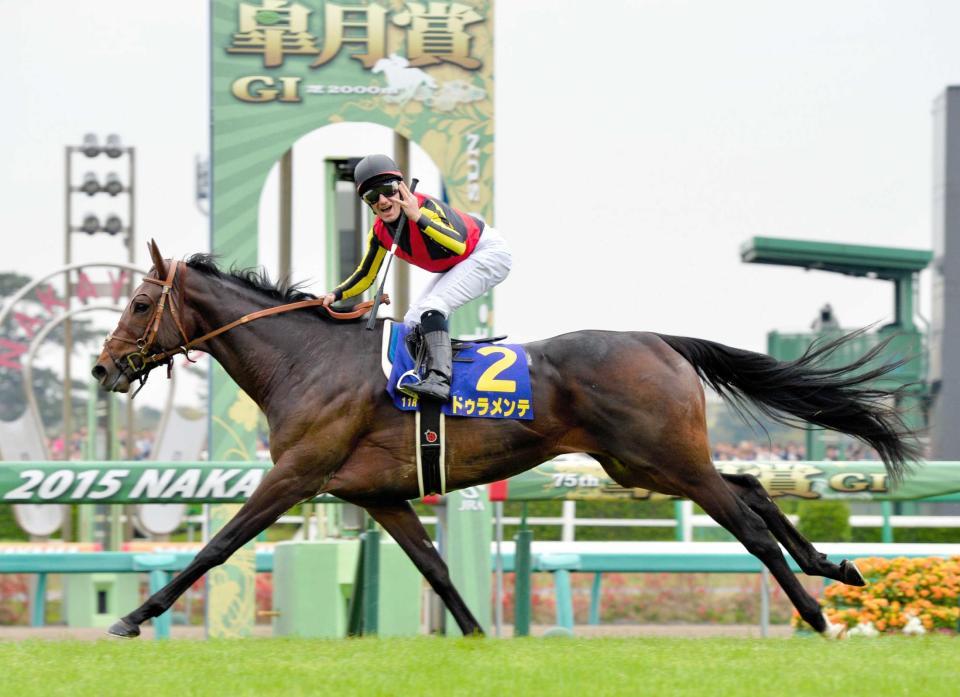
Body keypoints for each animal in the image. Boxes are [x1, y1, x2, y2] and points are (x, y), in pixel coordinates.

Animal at [93, 241, 921, 639]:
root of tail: (659, 339)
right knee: (753, 489)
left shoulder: (299, 474)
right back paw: (836, 565)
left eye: (137, 302)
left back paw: (816, 615)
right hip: (644, 464)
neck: (307, 358)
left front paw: (132, 616)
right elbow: (434, 569)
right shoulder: (380, 492)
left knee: (747, 520)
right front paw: (474, 633)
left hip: (665, 458)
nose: (102, 366)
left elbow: (217, 545)